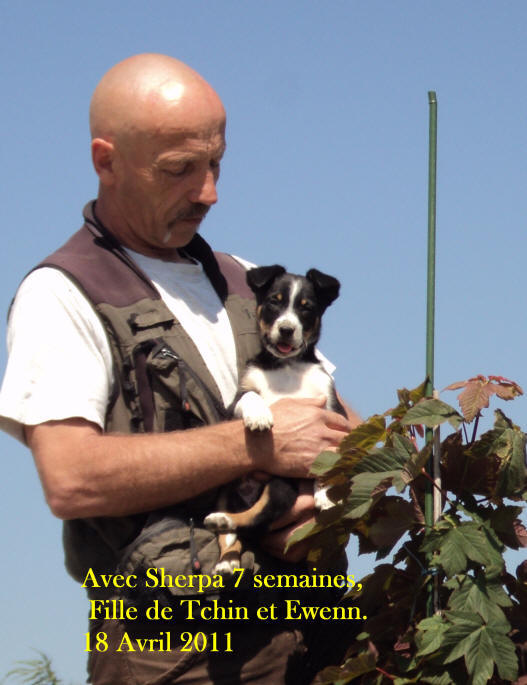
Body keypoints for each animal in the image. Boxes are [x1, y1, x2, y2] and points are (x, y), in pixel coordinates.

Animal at [203, 264, 346, 576]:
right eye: (273, 302)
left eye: (307, 308)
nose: (286, 329)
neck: (287, 366)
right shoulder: (236, 399)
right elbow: (250, 397)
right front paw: (259, 416)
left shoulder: (332, 412)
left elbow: (329, 453)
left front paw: (325, 494)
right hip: (232, 491)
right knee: (243, 526)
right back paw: (224, 543)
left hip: (279, 488)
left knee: (253, 522)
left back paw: (226, 544)